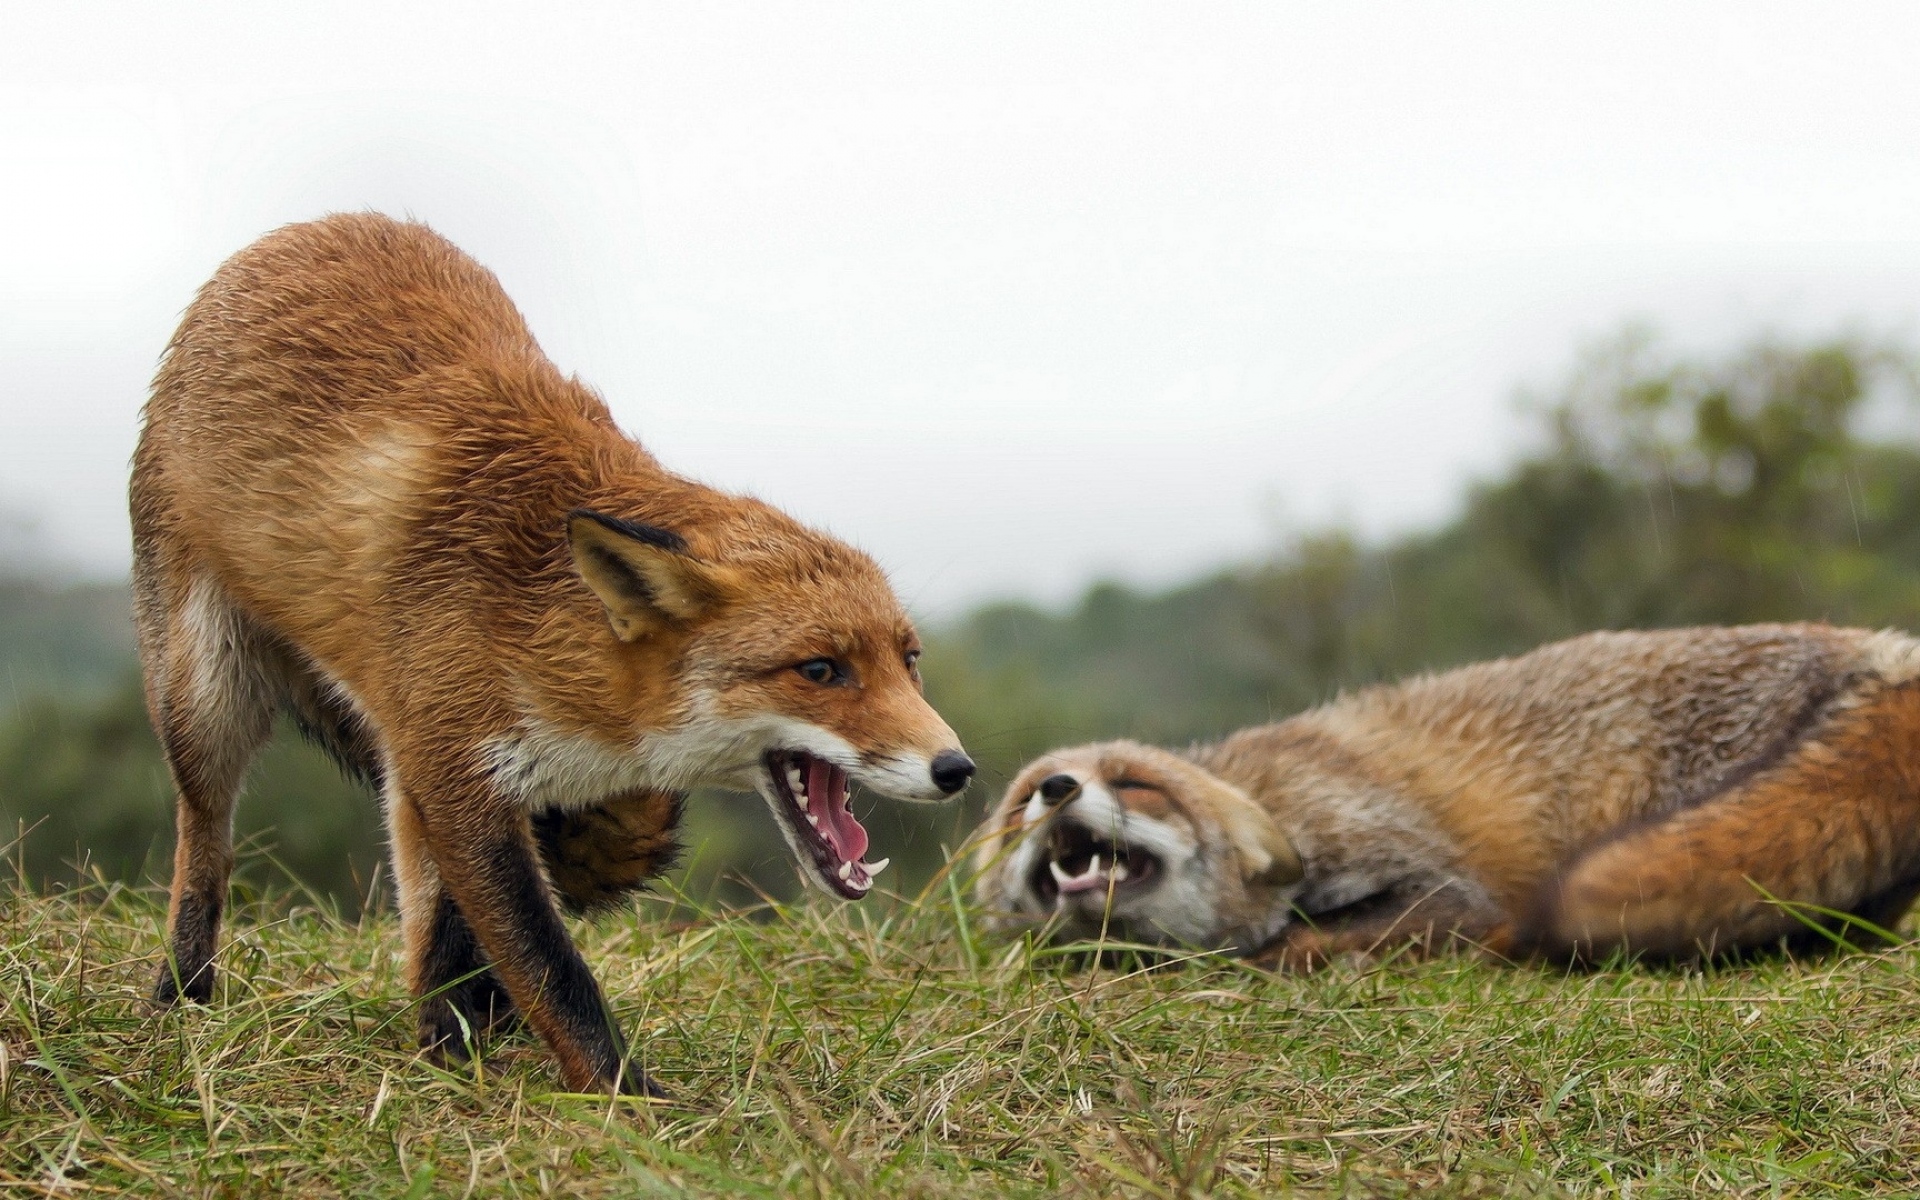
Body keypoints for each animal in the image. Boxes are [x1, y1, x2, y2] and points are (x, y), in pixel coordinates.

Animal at [131, 212, 974, 1096]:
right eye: (820, 671)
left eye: (909, 659)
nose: (957, 768)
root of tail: (292, 233)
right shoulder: (454, 770)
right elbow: (550, 964)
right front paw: (623, 1094)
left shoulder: (442, 770)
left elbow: (460, 932)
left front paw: (462, 1046)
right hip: (203, 697)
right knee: (205, 839)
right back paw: (184, 994)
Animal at [973, 624, 1920, 968]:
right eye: (1021, 806)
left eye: (1135, 782)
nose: (1057, 789)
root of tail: (1877, 646)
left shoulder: (1433, 880)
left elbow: (1292, 943)